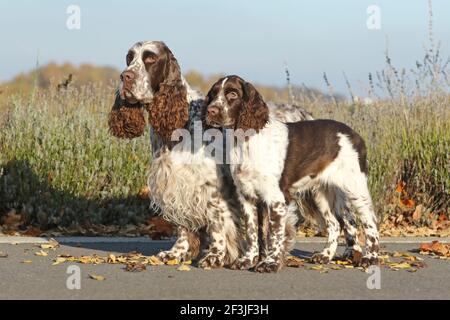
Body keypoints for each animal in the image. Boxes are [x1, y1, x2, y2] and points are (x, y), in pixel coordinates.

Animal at [206, 75, 378, 272]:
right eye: (213, 94)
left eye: (232, 94)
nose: (211, 110)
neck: (246, 142)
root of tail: (354, 135)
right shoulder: (247, 196)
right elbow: (251, 232)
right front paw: (247, 260)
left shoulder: (276, 199)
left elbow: (274, 234)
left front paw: (270, 263)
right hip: (321, 193)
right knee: (334, 224)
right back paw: (325, 256)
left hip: (355, 188)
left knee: (370, 222)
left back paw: (370, 258)